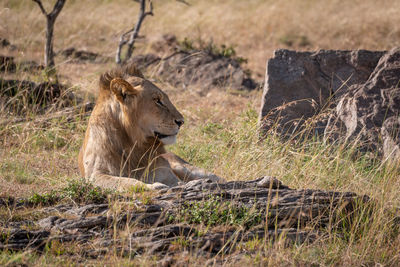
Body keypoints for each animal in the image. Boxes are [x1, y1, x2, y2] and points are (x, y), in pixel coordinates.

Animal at [78, 64, 222, 192]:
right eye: (157, 100)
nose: (181, 121)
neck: (133, 144)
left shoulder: (167, 174)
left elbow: (179, 182)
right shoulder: (95, 175)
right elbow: (126, 181)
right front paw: (153, 187)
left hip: (186, 167)